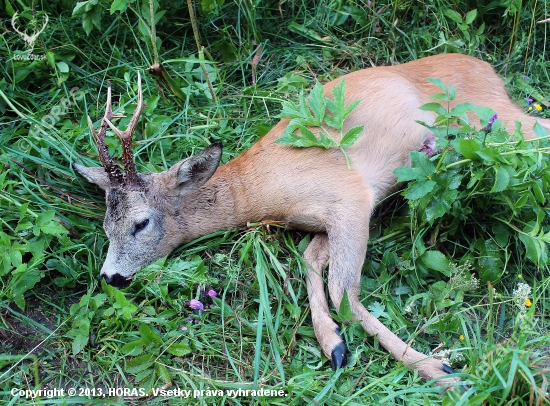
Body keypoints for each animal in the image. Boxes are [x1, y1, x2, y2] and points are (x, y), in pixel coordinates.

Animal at [74, 53, 550, 384]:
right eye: (106, 226)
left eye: (140, 223)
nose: (110, 277)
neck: (256, 193)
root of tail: (486, 67)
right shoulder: (325, 219)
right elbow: (310, 259)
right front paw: (333, 344)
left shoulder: (350, 196)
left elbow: (343, 290)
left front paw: (439, 370)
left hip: (497, 119)